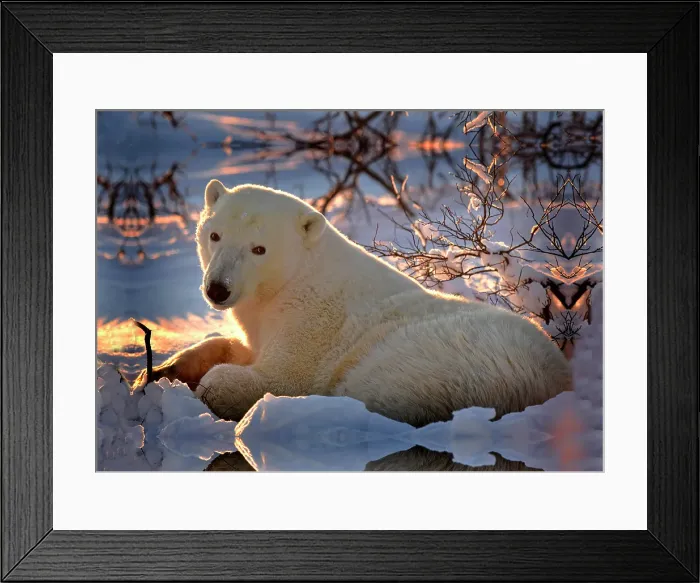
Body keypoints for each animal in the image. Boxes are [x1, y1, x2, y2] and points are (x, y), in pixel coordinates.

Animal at [134, 181, 571, 427]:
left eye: (259, 249)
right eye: (215, 235)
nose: (218, 290)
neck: (295, 280)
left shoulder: (310, 324)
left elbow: (280, 377)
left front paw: (208, 384)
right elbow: (235, 346)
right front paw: (163, 369)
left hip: (439, 360)